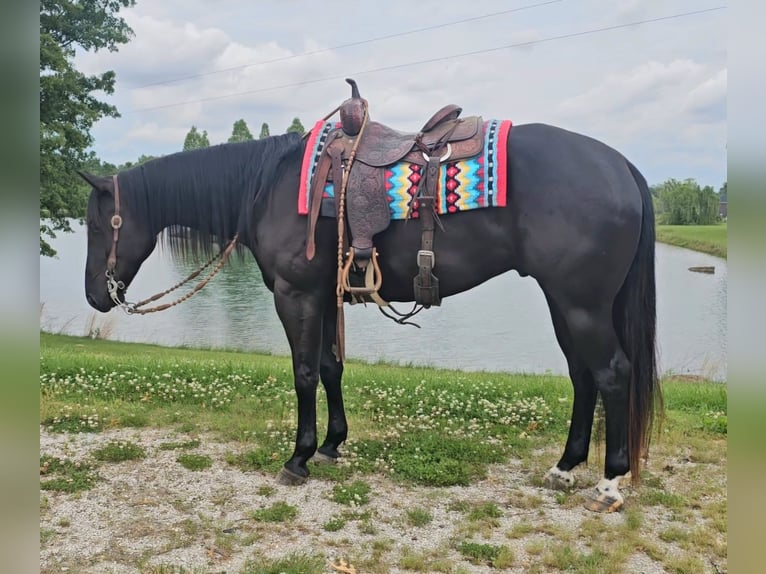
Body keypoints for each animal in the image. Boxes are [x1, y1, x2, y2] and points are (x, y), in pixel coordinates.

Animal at [81, 98, 664, 512]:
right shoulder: (322, 296)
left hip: (582, 303)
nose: (94, 294)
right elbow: (329, 367)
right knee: (583, 376)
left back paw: (609, 483)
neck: (269, 186)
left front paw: (298, 457)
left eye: (96, 224)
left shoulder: (296, 294)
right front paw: (331, 445)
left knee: (612, 374)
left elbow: (303, 373)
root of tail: (621, 165)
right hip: (566, 302)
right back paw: (565, 467)